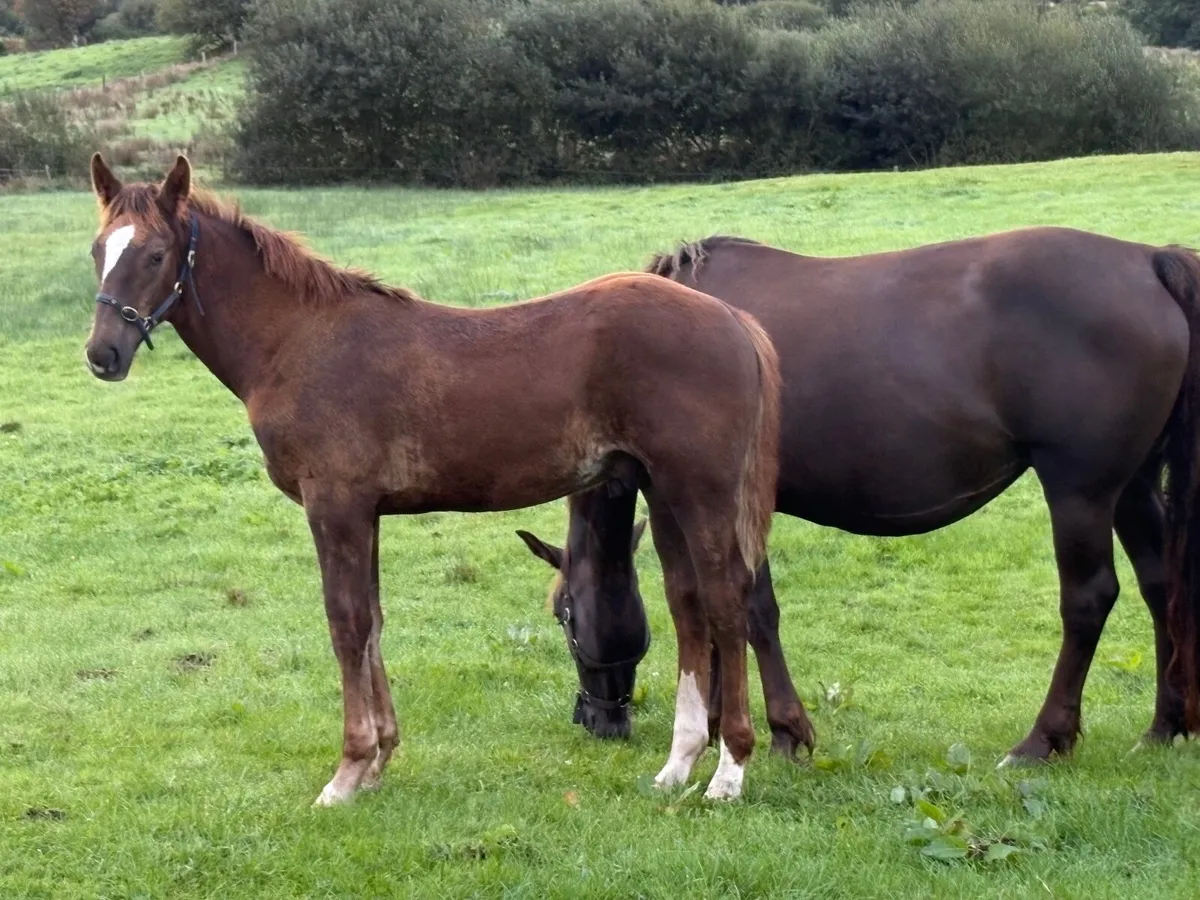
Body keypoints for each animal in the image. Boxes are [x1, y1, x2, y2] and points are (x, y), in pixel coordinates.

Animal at [82, 154, 782, 804]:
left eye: (155, 253)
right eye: (97, 250)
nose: (102, 354)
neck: (298, 342)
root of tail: (733, 321)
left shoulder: (333, 506)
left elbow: (345, 624)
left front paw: (346, 772)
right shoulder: (365, 512)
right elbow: (372, 619)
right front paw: (378, 761)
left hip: (701, 491)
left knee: (726, 602)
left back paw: (729, 771)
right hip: (662, 492)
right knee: (688, 605)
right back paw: (678, 766)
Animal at [517, 229, 1200, 767]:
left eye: (566, 617)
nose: (595, 720)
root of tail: (1147, 260)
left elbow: (747, 610)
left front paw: (781, 731)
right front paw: (716, 724)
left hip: (1080, 489)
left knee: (1089, 600)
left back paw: (1042, 740)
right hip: (1131, 486)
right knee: (1161, 586)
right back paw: (1164, 726)